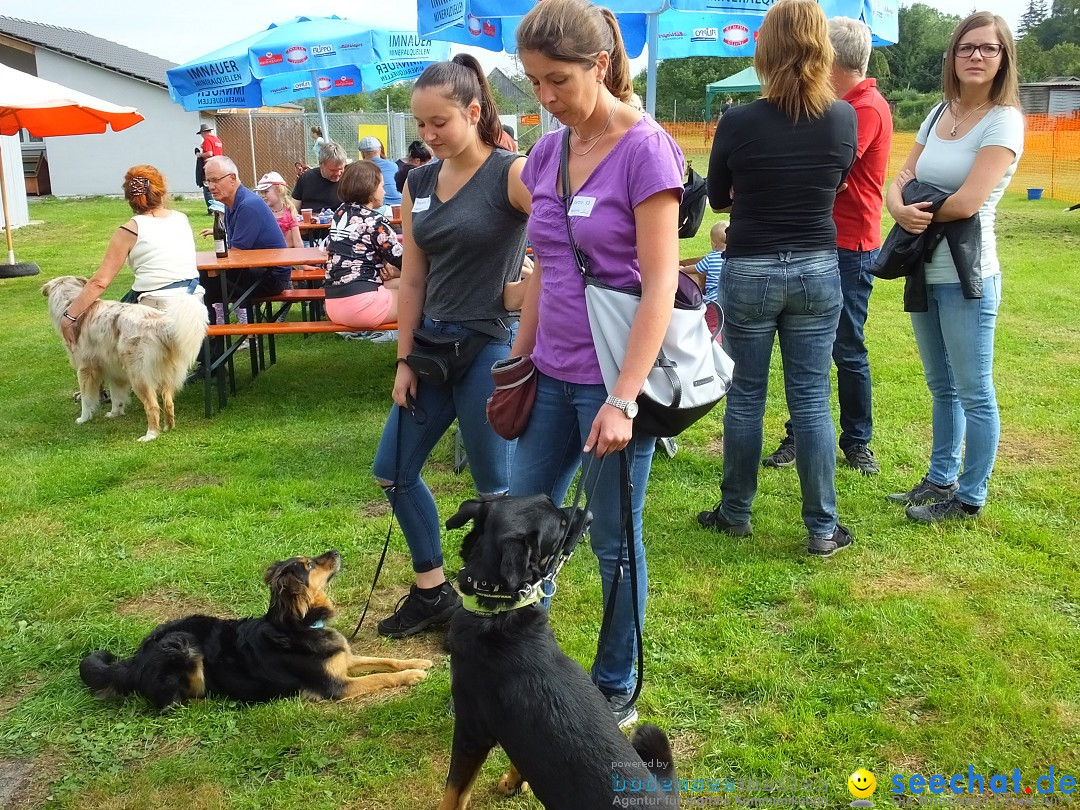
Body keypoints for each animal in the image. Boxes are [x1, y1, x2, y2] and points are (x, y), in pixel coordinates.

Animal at [42, 278, 207, 444]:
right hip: (164, 376)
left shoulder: (85, 369)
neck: (70, 302)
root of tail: (159, 324)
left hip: (138, 377)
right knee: (168, 403)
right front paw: (115, 413)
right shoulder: (115, 371)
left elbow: (86, 399)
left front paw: (83, 418)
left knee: (153, 406)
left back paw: (151, 434)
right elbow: (117, 396)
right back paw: (168, 427)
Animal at [78, 552, 432, 717]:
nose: (334, 550)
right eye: (309, 565)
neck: (300, 625)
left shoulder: (343, 659)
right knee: (173, 704)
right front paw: (412, 676)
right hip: (183, 646)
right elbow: (380, 677)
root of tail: (132, 661)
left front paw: (418, 662)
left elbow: (384, 660)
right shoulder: (335, 686)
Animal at [436, 498, 673, 807]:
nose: (591, 515)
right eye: (561, 524)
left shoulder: (471, 731)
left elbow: (454, 792)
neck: (498, 612)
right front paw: (514, 782)